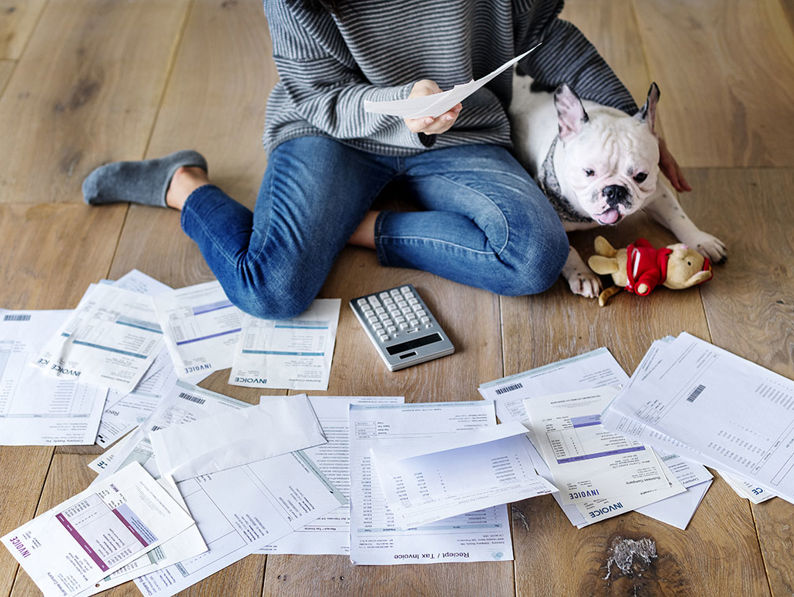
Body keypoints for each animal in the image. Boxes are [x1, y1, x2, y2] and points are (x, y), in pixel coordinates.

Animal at [508, 77, 724, 296]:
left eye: (641, 176)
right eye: (588, 172)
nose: (614, 190)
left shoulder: (658, 193)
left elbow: (678, 216)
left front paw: (702, 240)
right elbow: (566, 249)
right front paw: (582, 275)